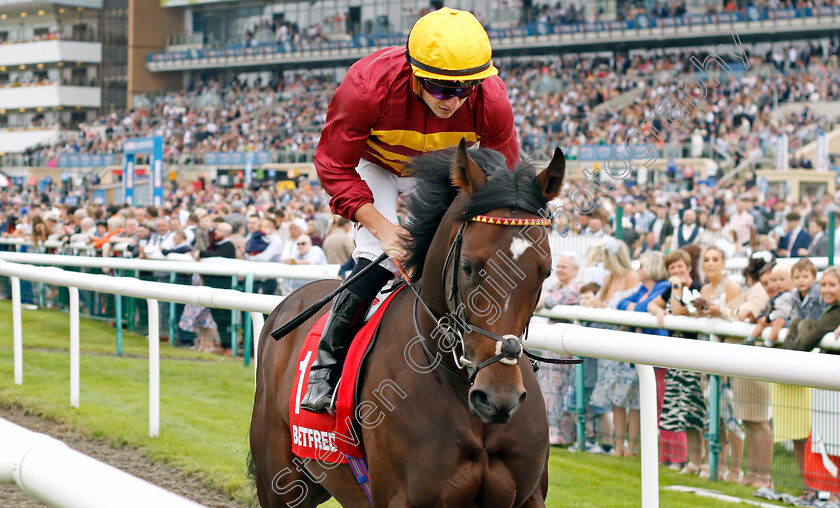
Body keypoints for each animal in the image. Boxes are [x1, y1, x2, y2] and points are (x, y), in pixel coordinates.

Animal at [249, 142, 564, 508]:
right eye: (468, 266)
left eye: (545, 271)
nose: (498, 397)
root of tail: (290, 299)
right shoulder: (404, 498)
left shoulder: (528, 497)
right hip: (280, 482)